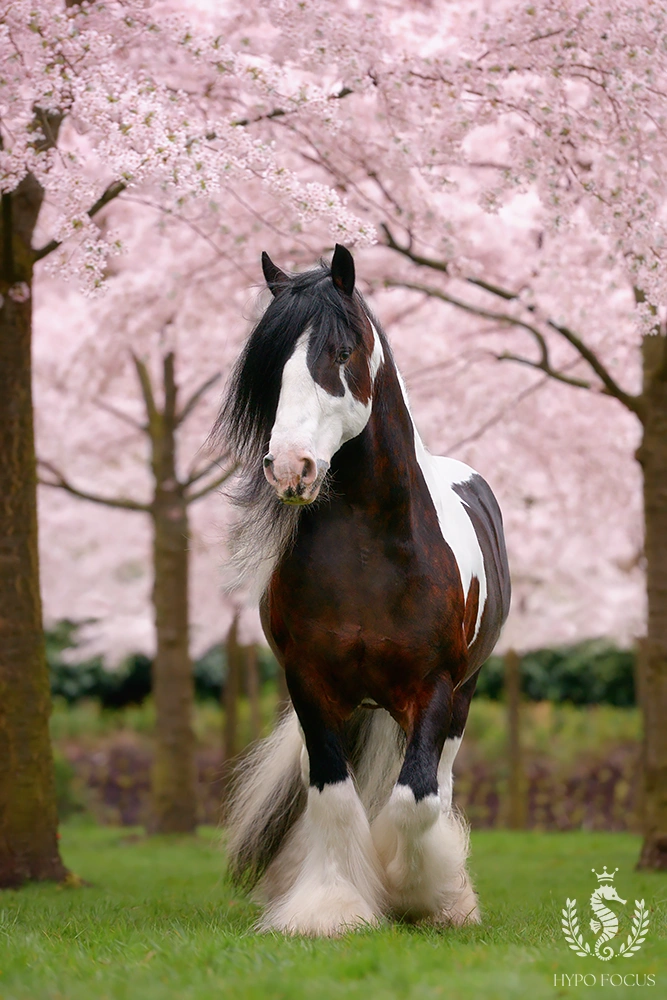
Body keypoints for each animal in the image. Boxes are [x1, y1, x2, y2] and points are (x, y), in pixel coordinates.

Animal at [217, 244, 508, 936]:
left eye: (341, 351)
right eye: (270, 365)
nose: (289, 468)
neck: (372, 554)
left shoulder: (432, 687)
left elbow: (414, 799)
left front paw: (423, 893)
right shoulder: (309, 684)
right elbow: (331, 793)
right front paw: (330, 905)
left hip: (462, 697)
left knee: (440, 784)